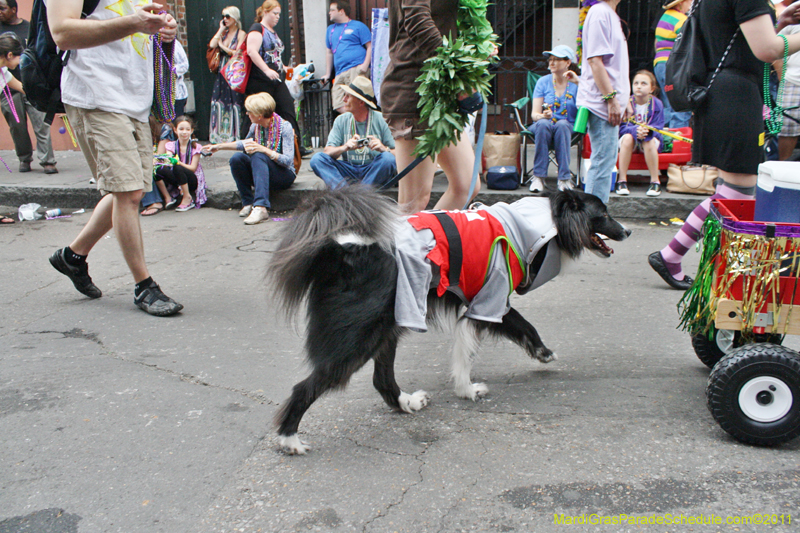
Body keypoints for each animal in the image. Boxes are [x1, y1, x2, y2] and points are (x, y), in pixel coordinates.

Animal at [270, 184, 632, 454]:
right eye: (604, 215)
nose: (628, 230)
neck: (536, 223)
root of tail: (343, 249)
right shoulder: (488, 299)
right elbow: (494, 339)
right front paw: (468, 389)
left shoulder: (482, 302)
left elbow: (511, 330)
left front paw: (539, 354)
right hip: (359, 337)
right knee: (307, 386)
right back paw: (289, 439)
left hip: (391, 324)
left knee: (382, 379)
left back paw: (407, 403)